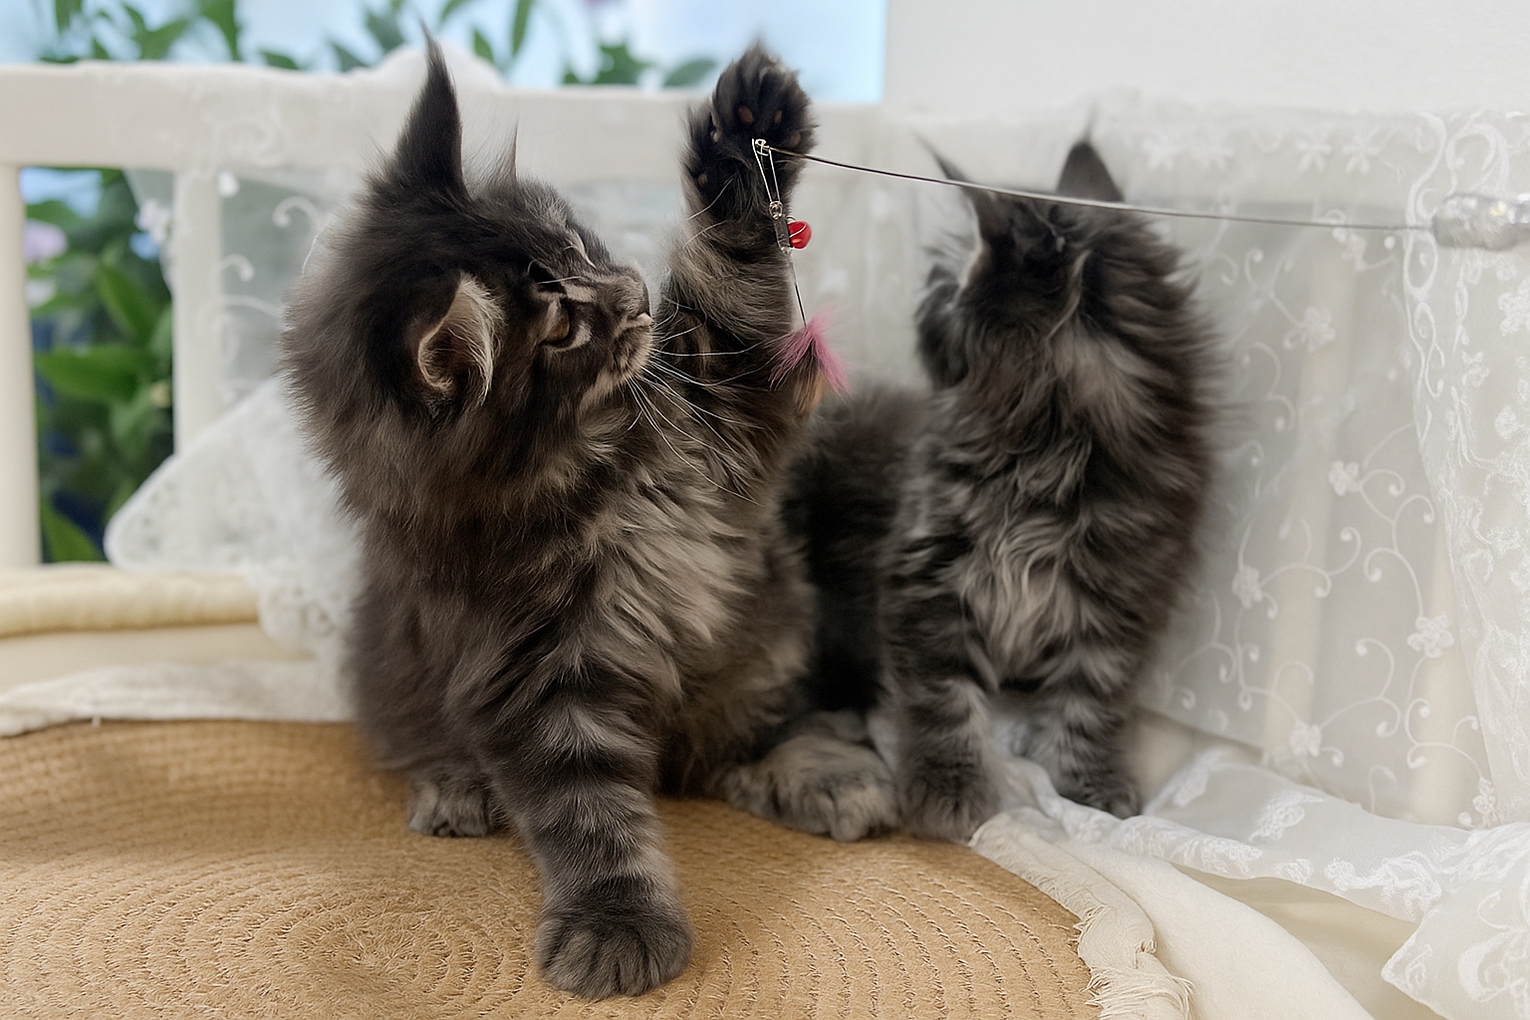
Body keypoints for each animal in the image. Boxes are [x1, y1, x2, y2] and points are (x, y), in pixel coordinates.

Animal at [281, 42, 880, 999]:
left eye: (575, 240)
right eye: (563, 327)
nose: (634, 290)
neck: (602, 472)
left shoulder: (723, 408)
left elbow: (733, 284)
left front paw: (748, 129)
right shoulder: (531, 676)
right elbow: (588, 816)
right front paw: (617, 923)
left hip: (760, 648)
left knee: (754, 742)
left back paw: (824, 779)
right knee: (414, 739)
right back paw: (454, 788)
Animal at [787, 142, 1216, 839]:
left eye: (941, 298)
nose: (919, 319)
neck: (1046, 460)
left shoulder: (1119, 601)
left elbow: (1089, 703)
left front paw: (1089, 784)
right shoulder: (925, 583)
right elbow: (942, 700)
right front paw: (950, 790)